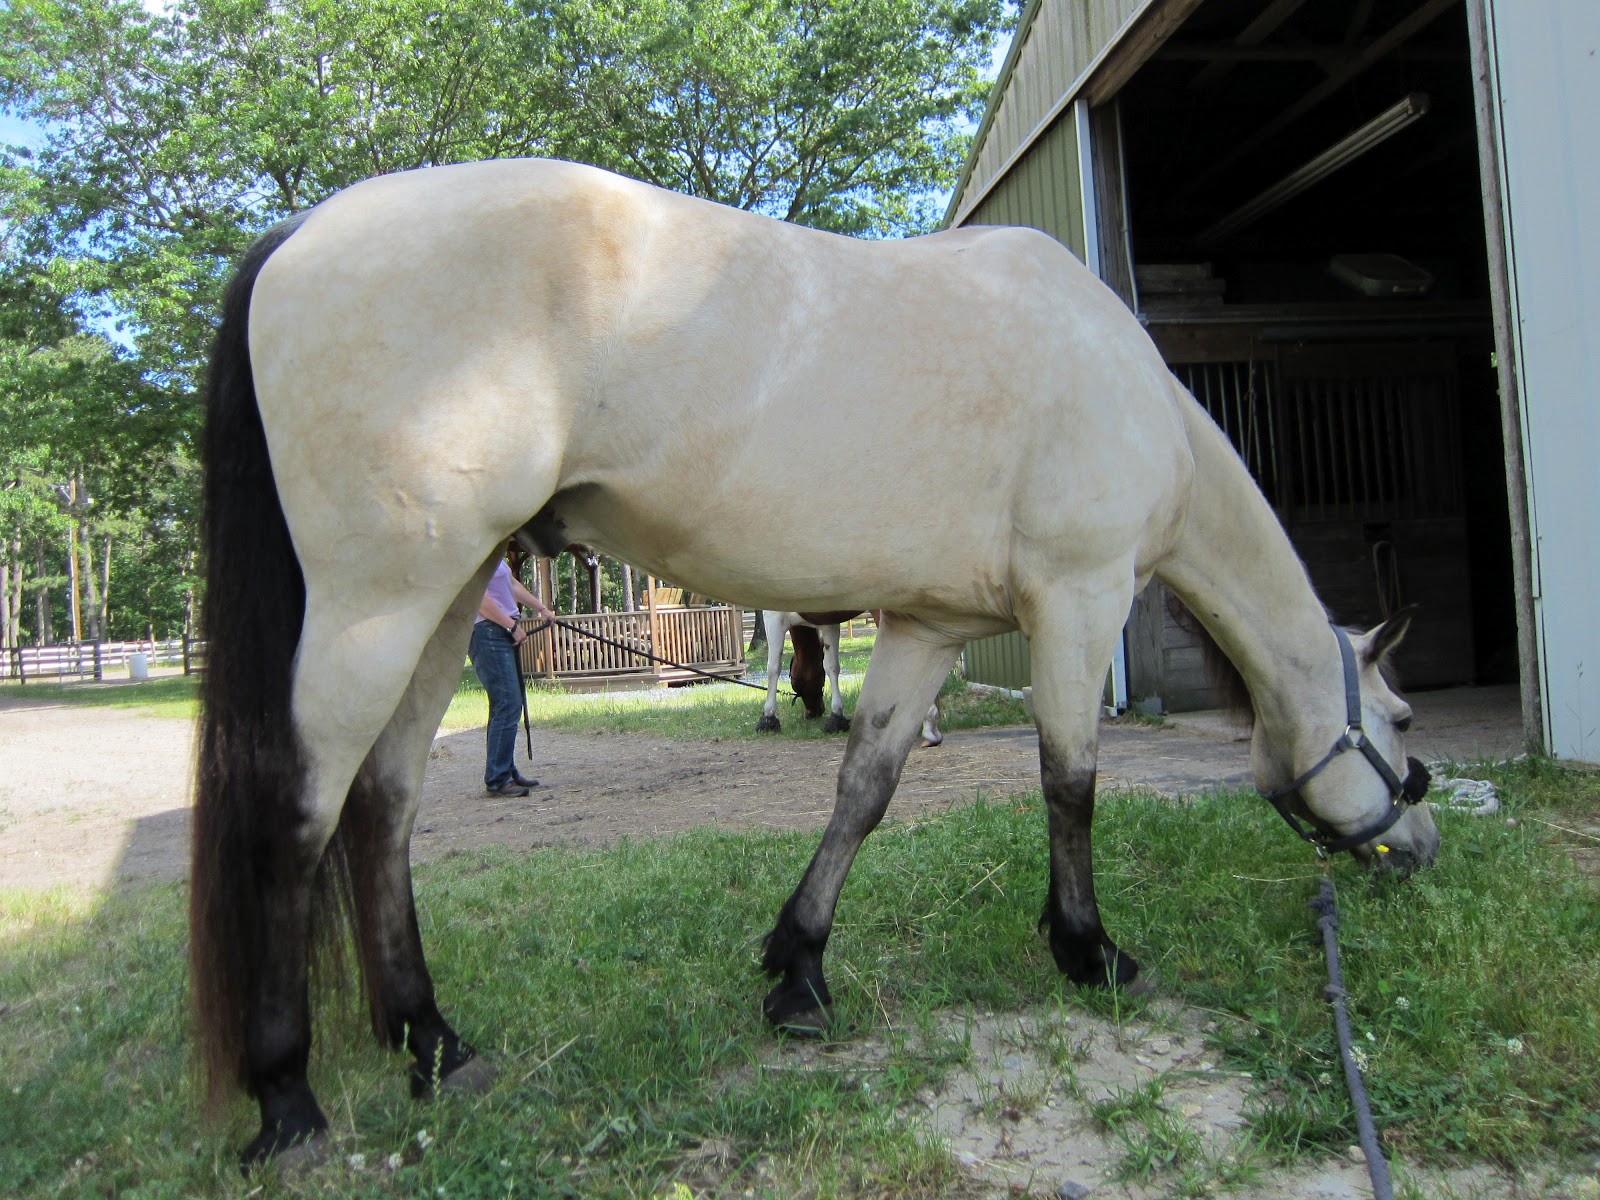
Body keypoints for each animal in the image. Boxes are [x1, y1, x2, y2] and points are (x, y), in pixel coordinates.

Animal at [757, 609, 942, 745]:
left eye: (791, 676)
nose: (814, 711)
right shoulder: (828, 621)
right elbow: (832, 666)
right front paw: (836, 717)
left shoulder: (773, 616)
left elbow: (773, 668)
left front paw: (768, 718)